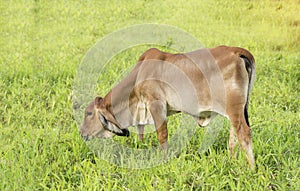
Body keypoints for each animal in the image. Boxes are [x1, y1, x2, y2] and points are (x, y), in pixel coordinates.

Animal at [79, 46, 255, 169]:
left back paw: (251, 169)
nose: (81, 132)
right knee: (233, 139)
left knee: (244, 134)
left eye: (89, 113)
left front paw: (164, 162)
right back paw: (232, 162)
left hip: (234, 108)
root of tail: (236, 51)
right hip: (235, 110)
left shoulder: (157, 104)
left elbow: (162, 137)